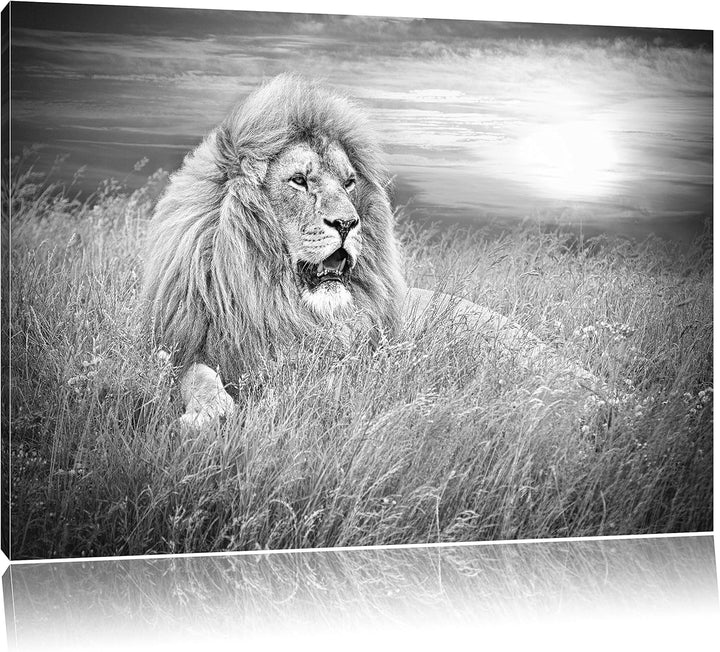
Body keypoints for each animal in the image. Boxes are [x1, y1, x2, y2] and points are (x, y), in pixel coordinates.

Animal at [142, 74, 594, 428]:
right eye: (299, 181)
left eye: (348, 183)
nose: (347, 224)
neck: (270, 298)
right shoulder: (183, 348)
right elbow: (195, 376)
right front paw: (208, 413)